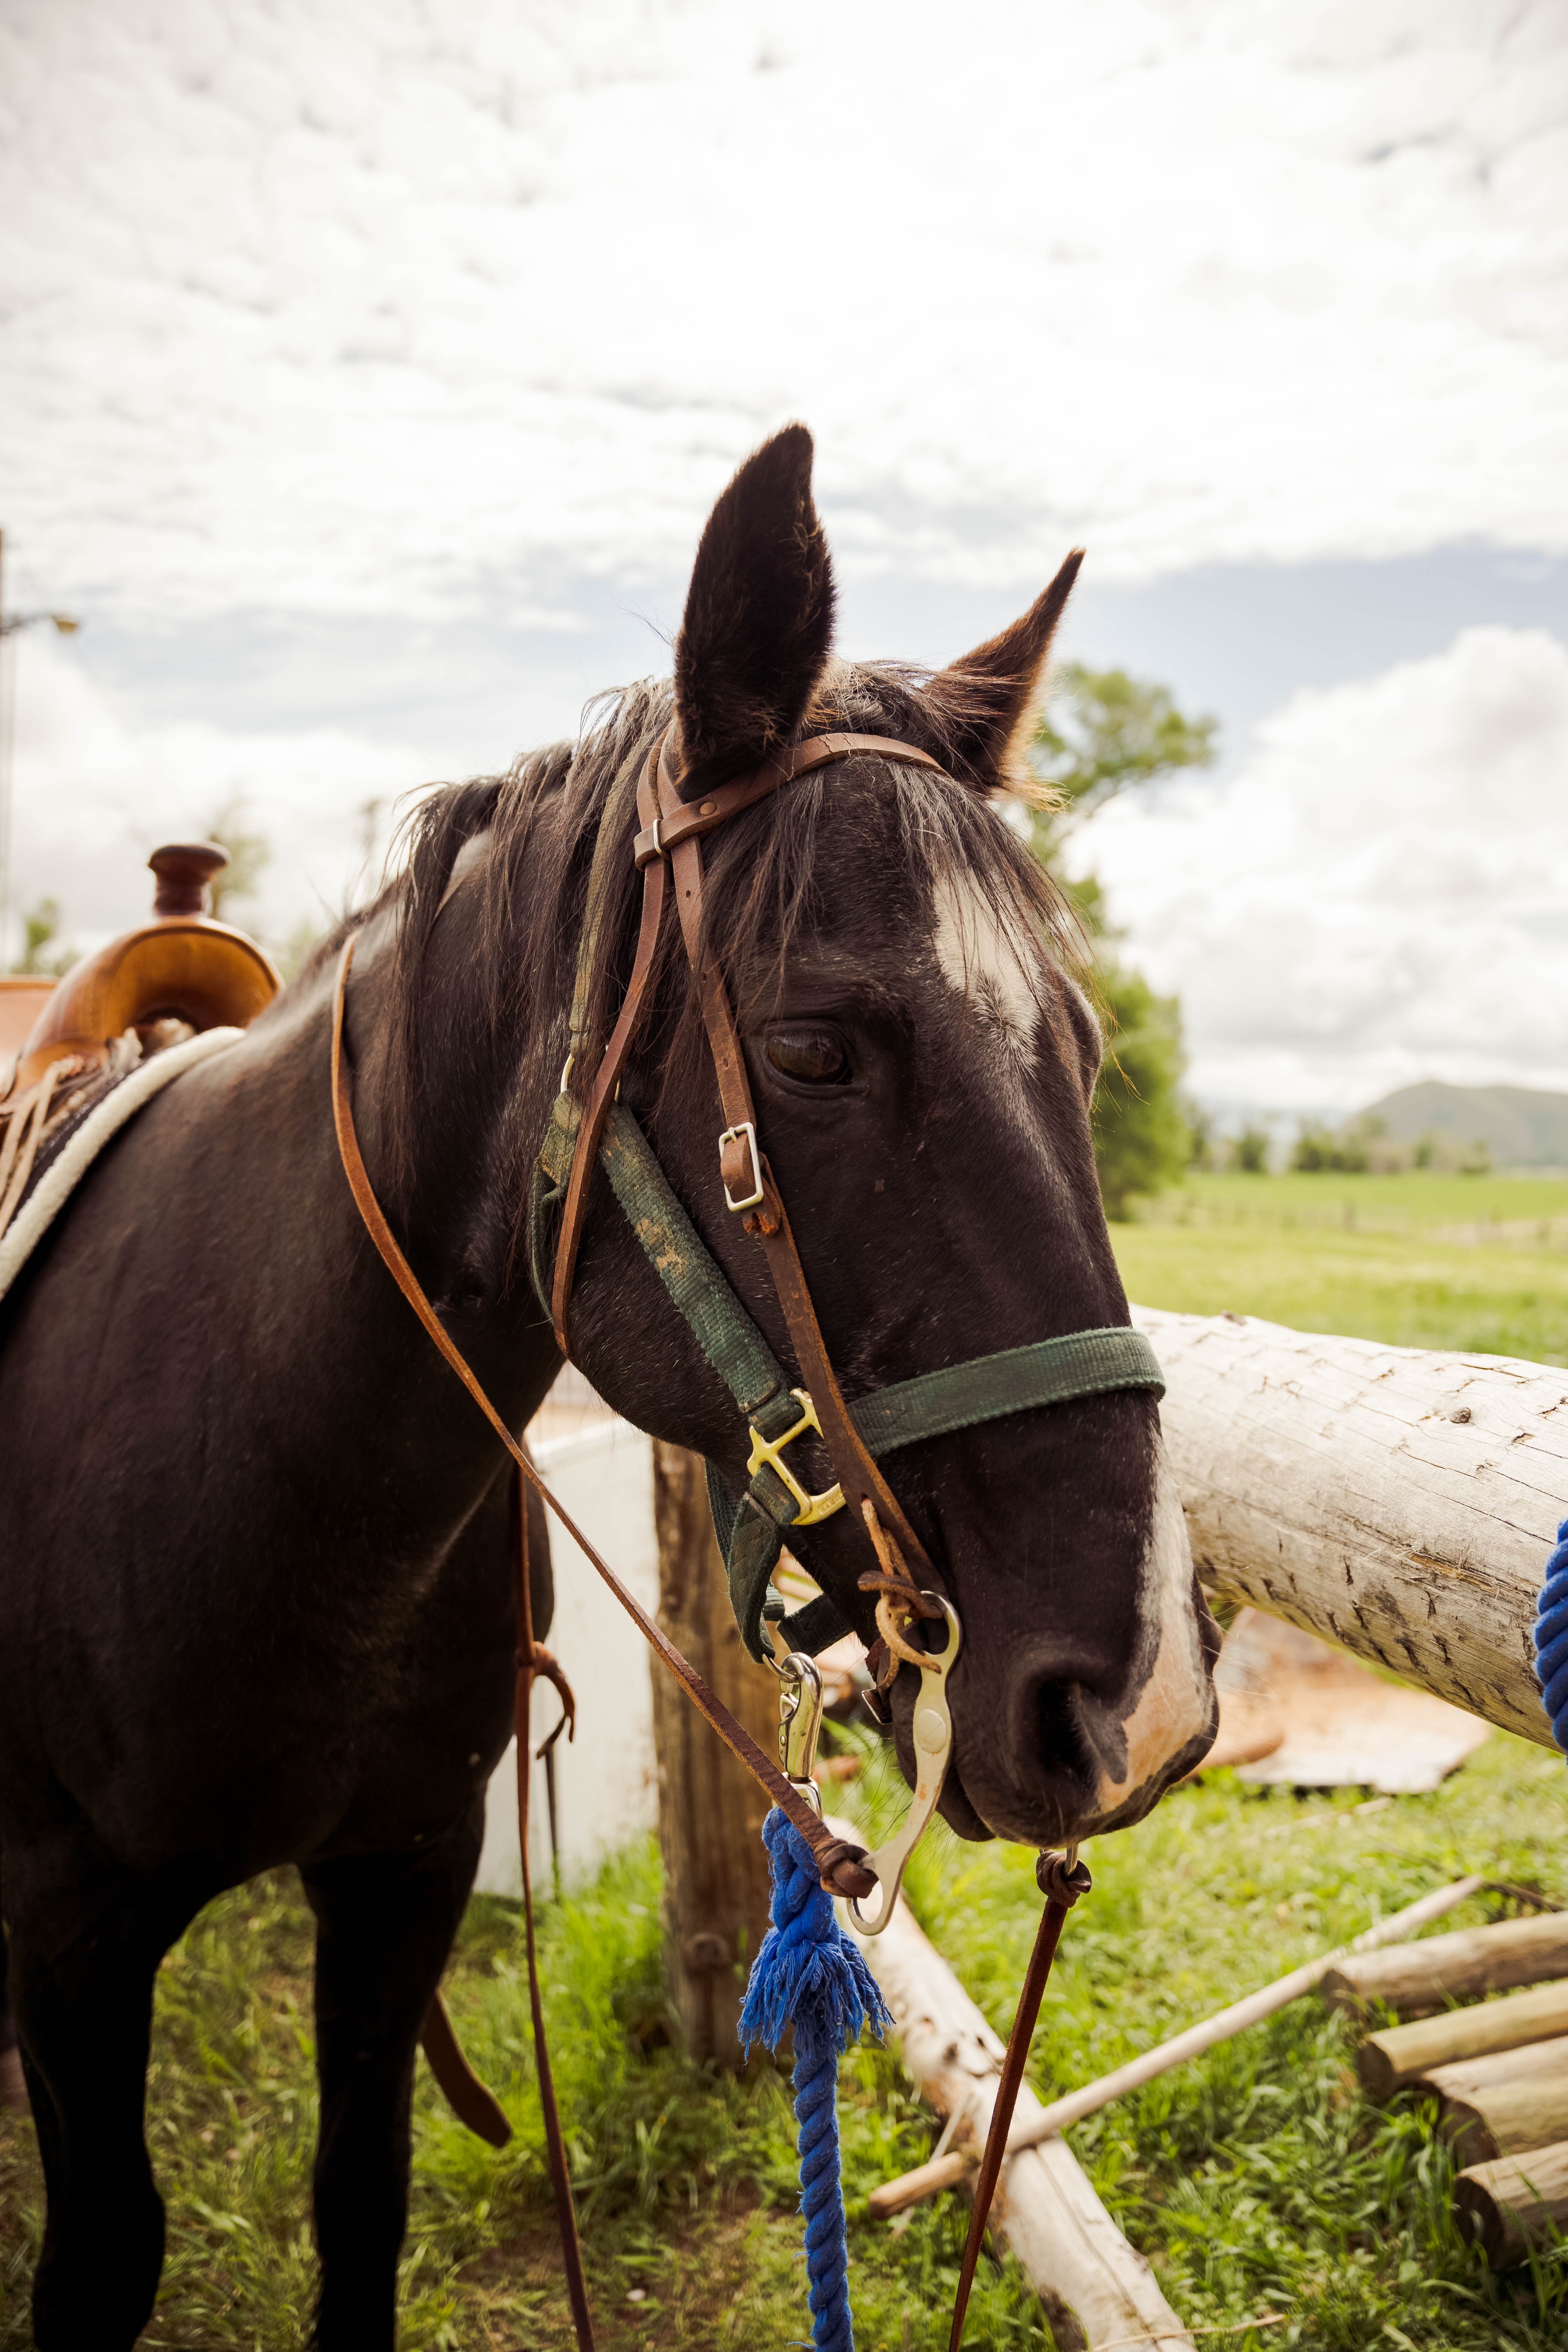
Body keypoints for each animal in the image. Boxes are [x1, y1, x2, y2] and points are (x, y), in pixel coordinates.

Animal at [0, 423, 1218, 2348]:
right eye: (809, 1048)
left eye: (1080, 1047)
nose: (1141, 1696)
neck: (266, 1462)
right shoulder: (69, 1927)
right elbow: (105, 2249)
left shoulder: (402, 1867)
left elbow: (360, 2194)